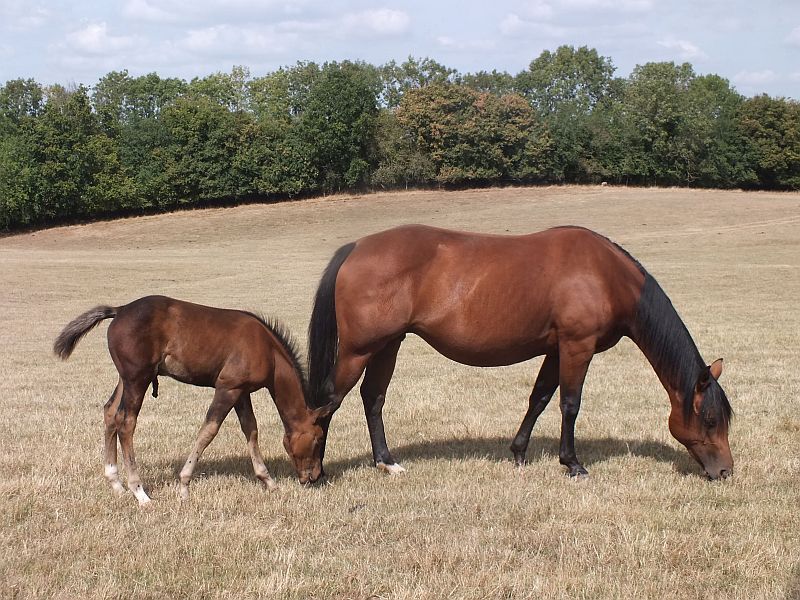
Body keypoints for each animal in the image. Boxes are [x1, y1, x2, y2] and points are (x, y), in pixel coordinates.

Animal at [54, 295, 333, 506]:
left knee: (110, 413)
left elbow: (251, 430)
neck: (267, 350)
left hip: (126, 378)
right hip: (137, 379)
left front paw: (268, 481)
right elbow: (209, 430)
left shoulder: (241, 392)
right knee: (126, 422)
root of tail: (120, 310)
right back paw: (139, 491)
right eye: (318, 439)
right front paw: (184, 485)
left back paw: (116, 482)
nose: (315, 476)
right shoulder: (227, 388)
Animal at [307, 225, 733, 480]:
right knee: (328, 401)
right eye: (710, 419)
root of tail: (356, 247)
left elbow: (539, 398)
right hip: (359, 350)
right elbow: (569, 404)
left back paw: (386, 462)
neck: (605, 274)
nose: (726, 471)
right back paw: (316, 467)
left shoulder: (557, 349)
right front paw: (573, 464)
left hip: (388, 345)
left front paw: (518, 452)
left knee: (372, 398)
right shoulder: (577, 346)